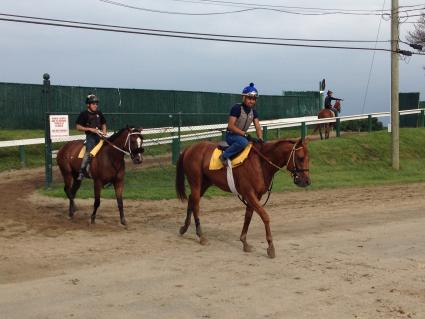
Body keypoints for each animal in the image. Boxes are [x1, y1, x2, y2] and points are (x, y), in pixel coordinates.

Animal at [174, 139, 310, 258]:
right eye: (300, 158)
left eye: (308, 158)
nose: (306, 181)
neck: (261, 163)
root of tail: (190, 148)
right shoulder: (249, 194)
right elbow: (265, 216)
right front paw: (270, 247)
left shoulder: (255, 196)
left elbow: (248, 217)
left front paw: (244, 242)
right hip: (196, 182)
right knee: (196, 204)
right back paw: (201, 236)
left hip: (205, 183)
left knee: (191, 200)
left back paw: (184, 228)